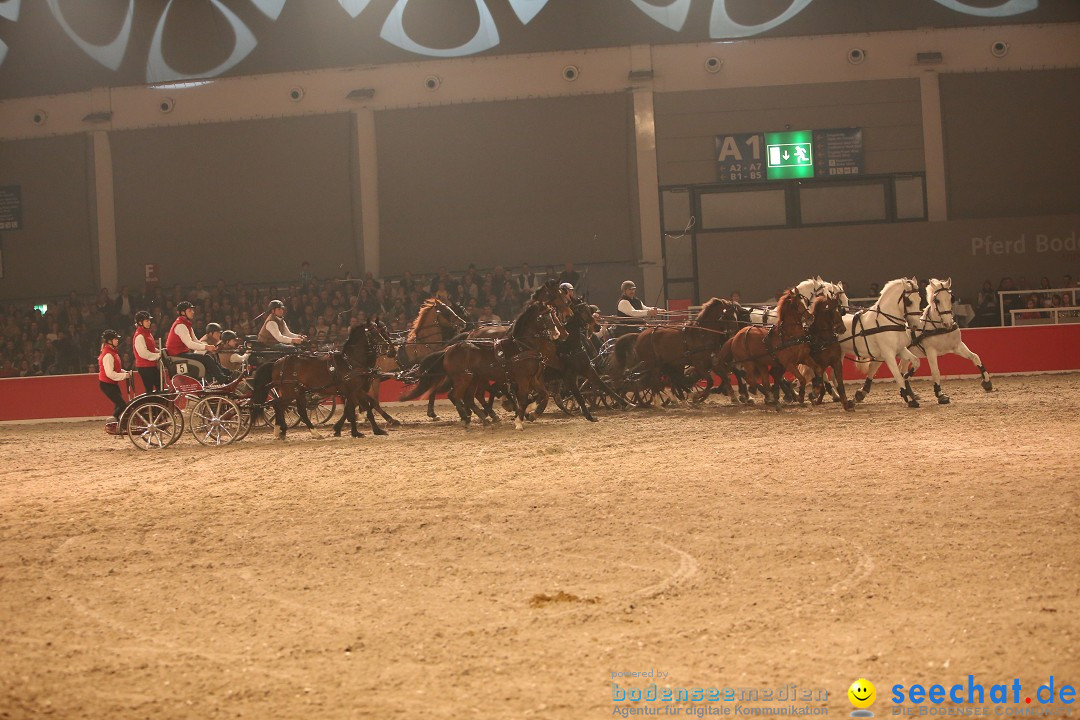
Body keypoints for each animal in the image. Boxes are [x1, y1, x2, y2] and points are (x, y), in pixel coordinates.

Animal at [838, 276, 924, 408]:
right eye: (909, 301)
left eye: (919, 299)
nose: (915, 326)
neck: (886, 321)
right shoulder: (888, 355)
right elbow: (897, 376)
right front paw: (909, 399)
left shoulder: (900, 350)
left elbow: (916, 362)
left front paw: (907, 377)